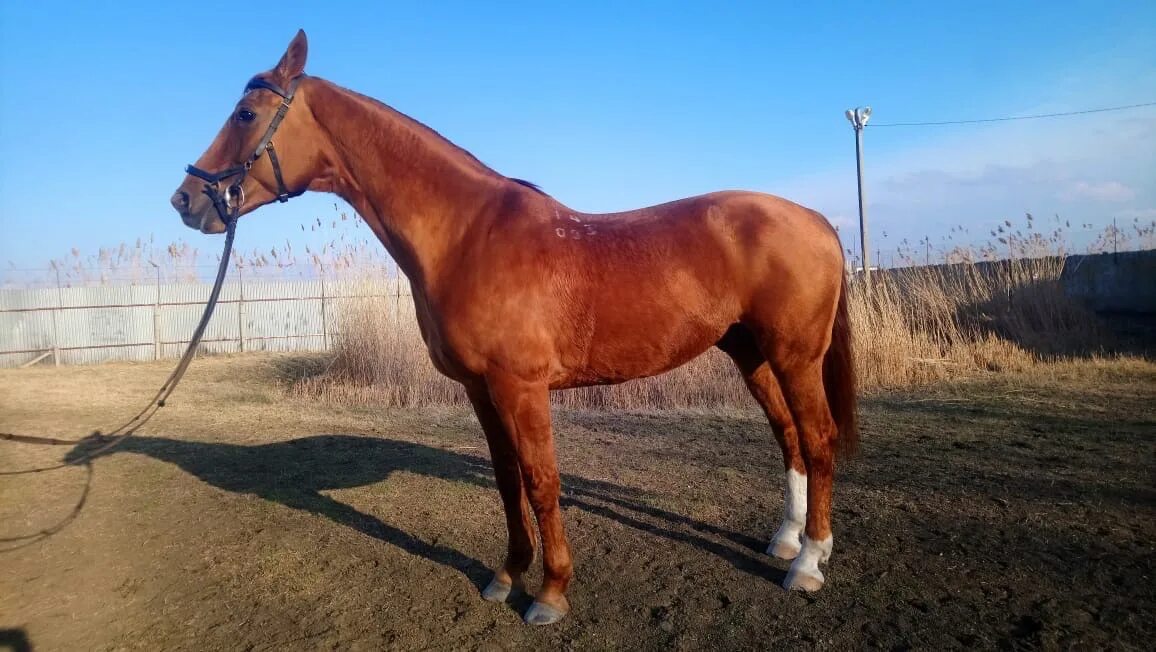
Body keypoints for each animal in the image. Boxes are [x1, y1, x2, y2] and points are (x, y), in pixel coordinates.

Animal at [173, 31, 860, 624]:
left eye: (244, 113)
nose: (186, 200)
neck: (467, 236)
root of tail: (814, 219)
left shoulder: (522, 388)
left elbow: (541, 481)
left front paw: (550, 594)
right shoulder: (481, 389)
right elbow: (507, 481)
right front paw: (506, 576)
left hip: (796, 356)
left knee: (818, 438)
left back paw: (807, 563)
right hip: (751, 353)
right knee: (789, 437)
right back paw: (787, 539)